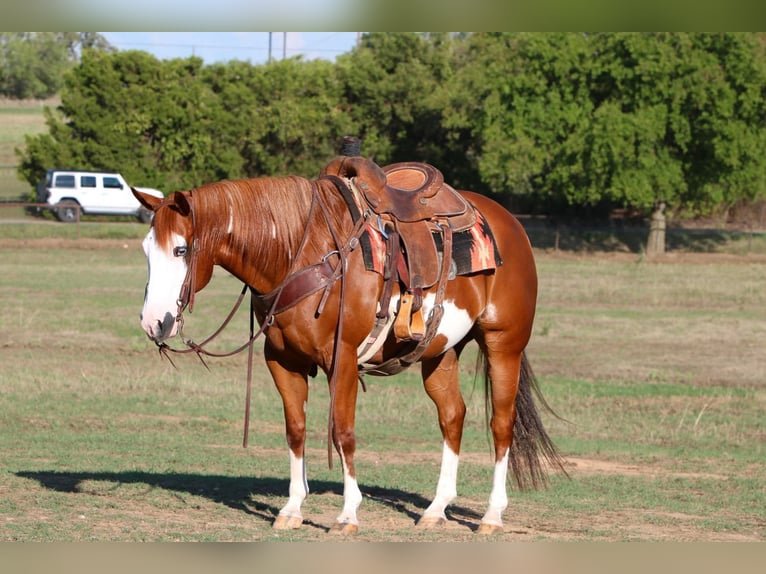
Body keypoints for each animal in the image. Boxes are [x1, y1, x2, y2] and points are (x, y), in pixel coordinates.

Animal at [130, 156, 564, 536]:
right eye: (146, 249)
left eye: (181, 249)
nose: (154, 322)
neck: (301, 252)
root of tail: (509, 223)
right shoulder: (282, 361)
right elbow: (296, 430)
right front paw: (292, 509)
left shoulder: (343, 360)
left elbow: (343, 432)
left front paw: (348, 514)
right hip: (441, 352)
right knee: (453, 416)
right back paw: (435, 509)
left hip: (503, 344)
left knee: (501, 424)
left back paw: (492, 515)